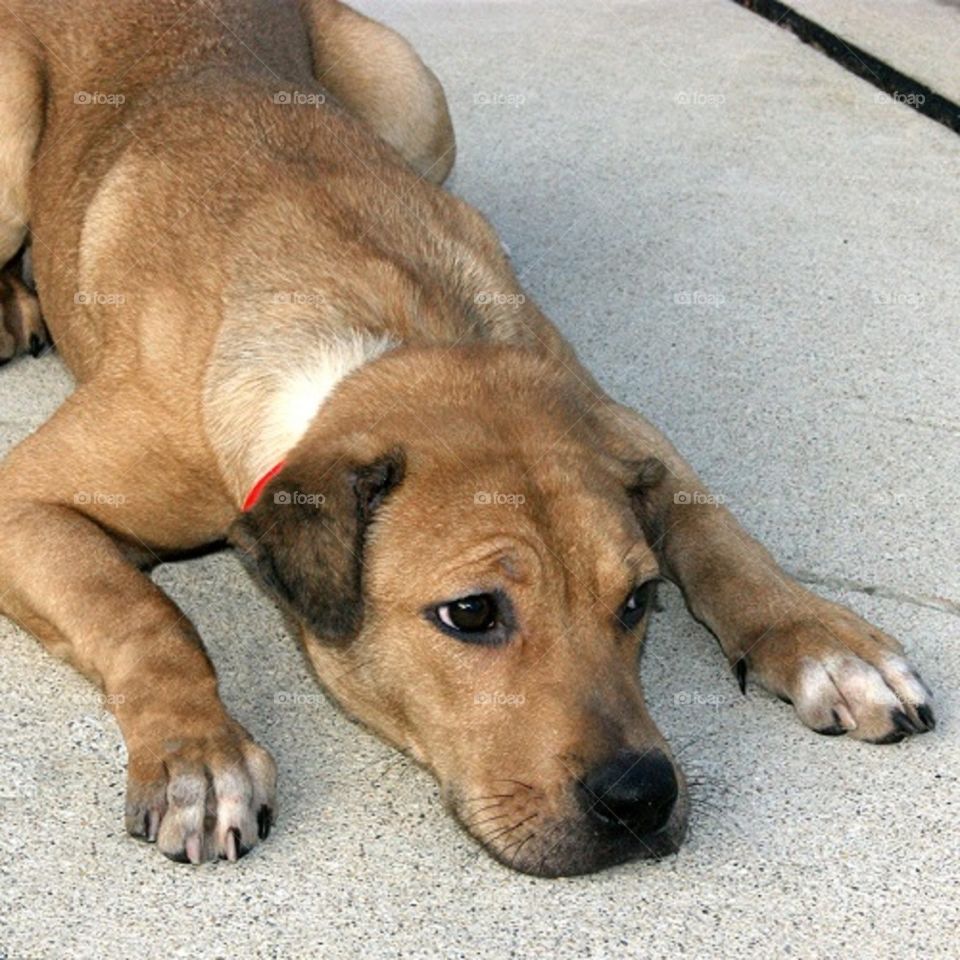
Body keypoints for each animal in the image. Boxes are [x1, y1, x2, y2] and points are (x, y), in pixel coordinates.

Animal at [0, 0, 928, 872]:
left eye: (638, 601)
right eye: (471, 613)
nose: (640, 798)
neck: (385, 335)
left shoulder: (618, 420)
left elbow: (717, 531)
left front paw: (823, 640)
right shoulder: (24, 502)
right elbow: (144, 614)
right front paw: (197, 751)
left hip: (414, 94)